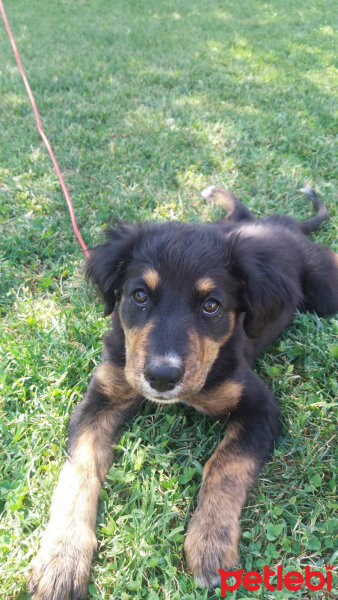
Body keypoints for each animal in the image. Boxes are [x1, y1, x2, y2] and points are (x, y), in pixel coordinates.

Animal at [29, 185, 338, 596]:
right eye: (139, 296)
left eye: (212, 305)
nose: (162, 377)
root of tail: (284, 226)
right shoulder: (102, 396)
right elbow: (77, 471)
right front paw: (61, 557)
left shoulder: (261, 408)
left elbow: (225, 464)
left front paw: (211, 542)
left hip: (326, 292)